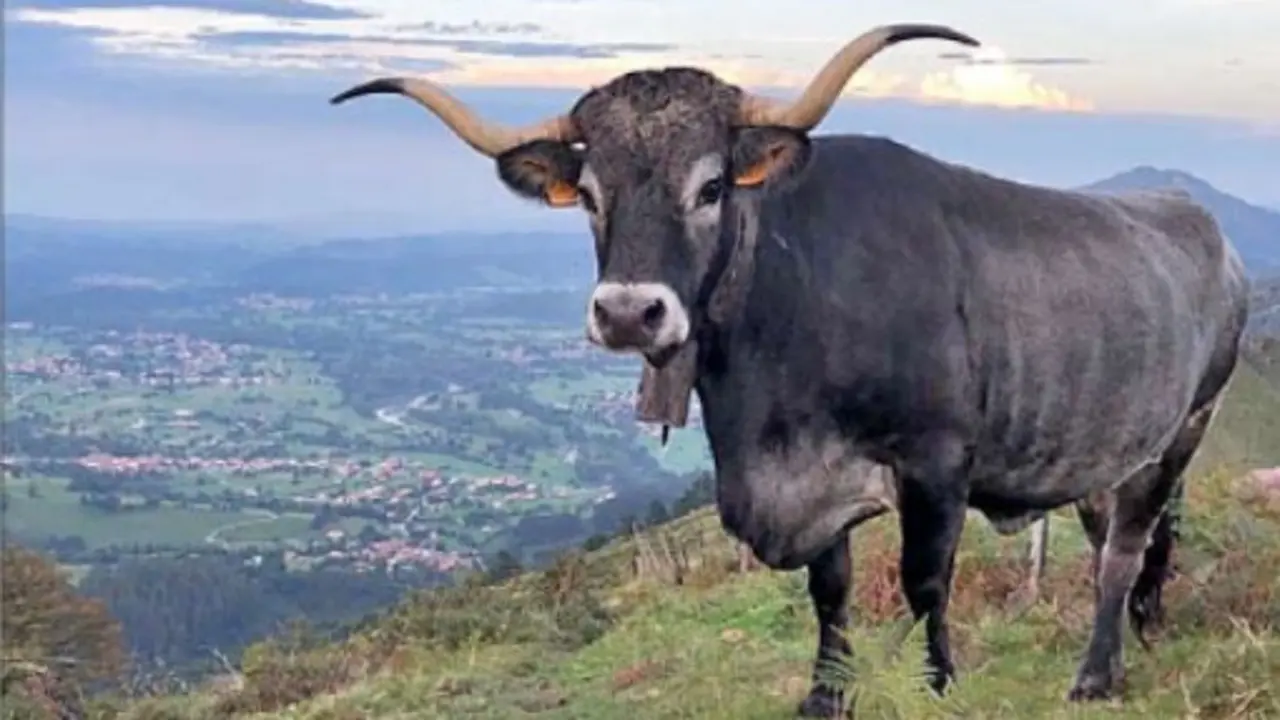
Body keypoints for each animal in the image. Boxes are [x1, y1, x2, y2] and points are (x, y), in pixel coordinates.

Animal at [330, 22, 1250, 716]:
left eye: (710, 188)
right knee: (1127, 541)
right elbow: (830, 592)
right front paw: (825, 695)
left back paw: (1096, 673)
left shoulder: (936, 463)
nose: (628, 314)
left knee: (1123, 548)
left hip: (1188, 425)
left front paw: (937, 682)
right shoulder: (812, 490)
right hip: (1112, 448)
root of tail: (1200, 222)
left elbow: (923, 583)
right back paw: (1143, 629)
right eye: (589, 195)